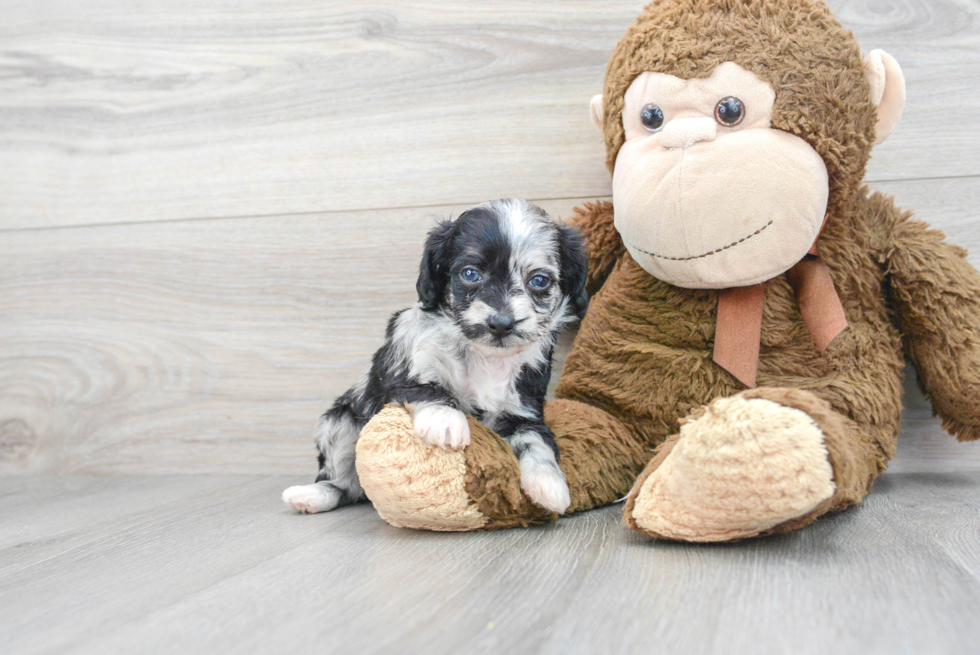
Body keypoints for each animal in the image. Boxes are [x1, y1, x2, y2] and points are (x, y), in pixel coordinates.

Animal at [284, 197, 588, 516]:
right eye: (470, 273)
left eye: (539, 280)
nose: (501, 323)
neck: (484, 356)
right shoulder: (402, 365)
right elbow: (427, 388)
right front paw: (446, 421)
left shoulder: (524, 409)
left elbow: (535, 441)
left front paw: (549, 484)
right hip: (340, 423)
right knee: (343, 484)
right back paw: (310, 496)